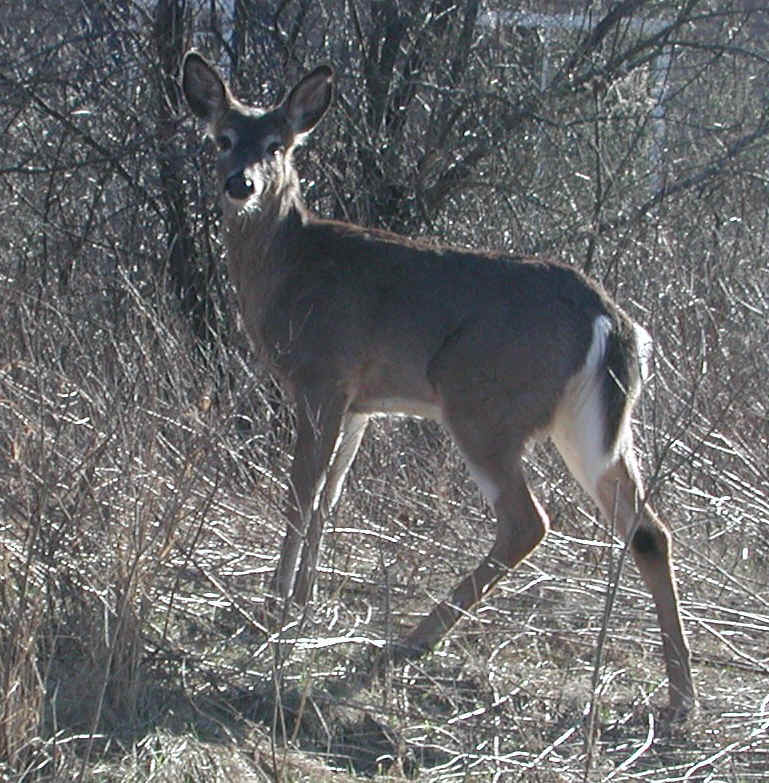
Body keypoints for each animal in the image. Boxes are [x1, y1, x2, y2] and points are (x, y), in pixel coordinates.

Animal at [181, 51, 695, 719]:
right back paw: (681, 697)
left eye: (278, 145)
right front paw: (303, 600)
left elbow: (301, 492)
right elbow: (331, 494)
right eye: (222, 139)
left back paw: (412, 639)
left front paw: (271, 606)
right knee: (648, 530)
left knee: (528, 521)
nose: (238, 183)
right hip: (592, 428)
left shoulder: (321, 375)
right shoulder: (360, 402)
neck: (289, 267)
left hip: (482, 403)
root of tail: (613, 320)